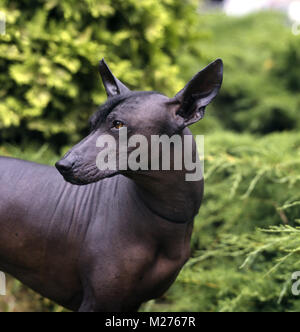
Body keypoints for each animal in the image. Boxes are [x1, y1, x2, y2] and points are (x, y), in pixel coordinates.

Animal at [0, 59, 220, 312]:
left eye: (118, 124)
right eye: (92, 124)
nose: (62, 165)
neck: (164, 215)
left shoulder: (132, 303)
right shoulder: (98, 301)